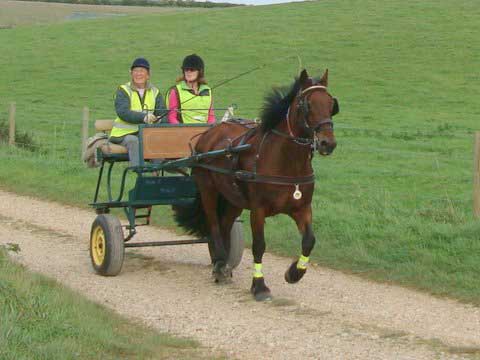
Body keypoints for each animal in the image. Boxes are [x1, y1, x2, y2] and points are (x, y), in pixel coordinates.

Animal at [173, 69, 338, 300]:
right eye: (307, 104)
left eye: (331, 104)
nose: (327, 143)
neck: (287, 161)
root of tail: (210, 133)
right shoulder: (258, 210)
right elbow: (259, 246)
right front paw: (259, 285)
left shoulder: (302, 207)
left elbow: (309, 241)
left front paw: (294, 272)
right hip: (208, 190)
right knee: (214, 226)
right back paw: (220, 262)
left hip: (233, 199)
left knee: (224, 226)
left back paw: (221, 264)